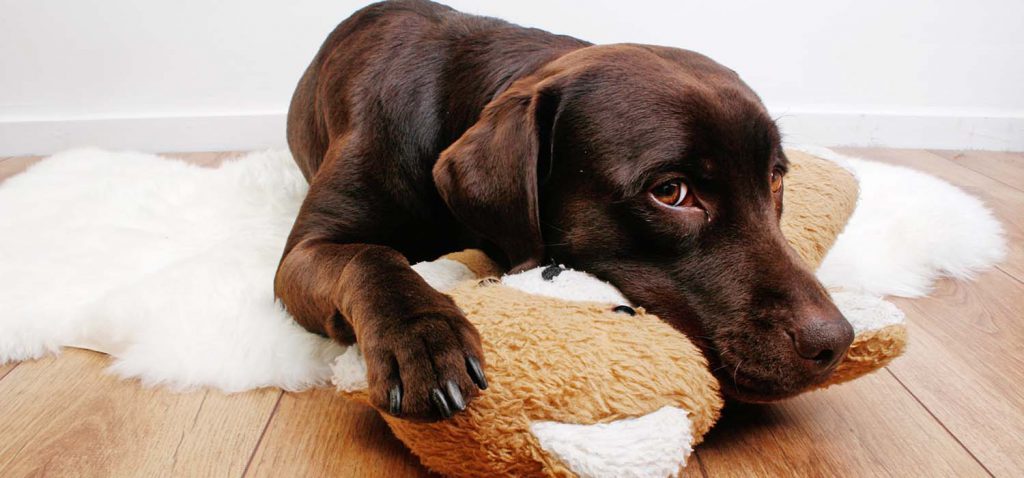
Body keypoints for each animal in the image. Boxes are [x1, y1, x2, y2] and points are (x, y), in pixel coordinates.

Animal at [276, 0, 851, 421]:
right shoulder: (302, 255)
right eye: (671, 192)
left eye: (775, 178)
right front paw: (422, 337)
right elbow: (369, 257)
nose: (836, 342)